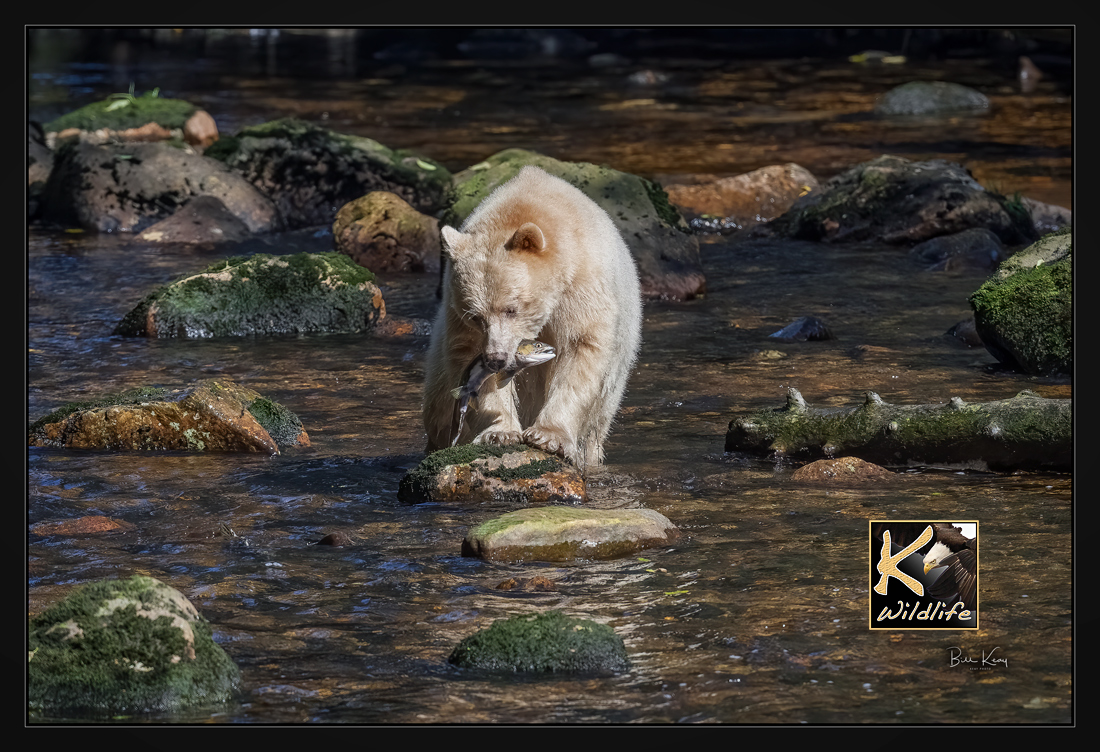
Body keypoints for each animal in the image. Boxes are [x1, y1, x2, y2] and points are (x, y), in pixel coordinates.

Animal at [422, 165, 643, 469]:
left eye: (511, 308)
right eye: (476, 317)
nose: (495, 359)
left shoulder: (582, 287)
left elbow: (582, 348)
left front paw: (549, 437)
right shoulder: (456, 317)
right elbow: (472, 363)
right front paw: (500, 433)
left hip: (613, 387)